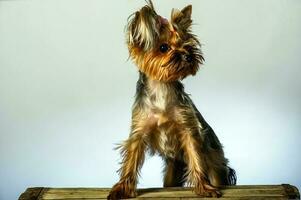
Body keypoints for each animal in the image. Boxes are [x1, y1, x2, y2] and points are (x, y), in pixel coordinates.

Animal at [106, 1, 236, 198]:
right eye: (163, 47)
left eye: (186, 42)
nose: (188, 55)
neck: (161, 86)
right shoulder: (139, 131)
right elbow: (130, 162)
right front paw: (121, 188)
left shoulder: (188, 130)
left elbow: (196, 158)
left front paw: (204, 187)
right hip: (172, 172)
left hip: (215, 162)